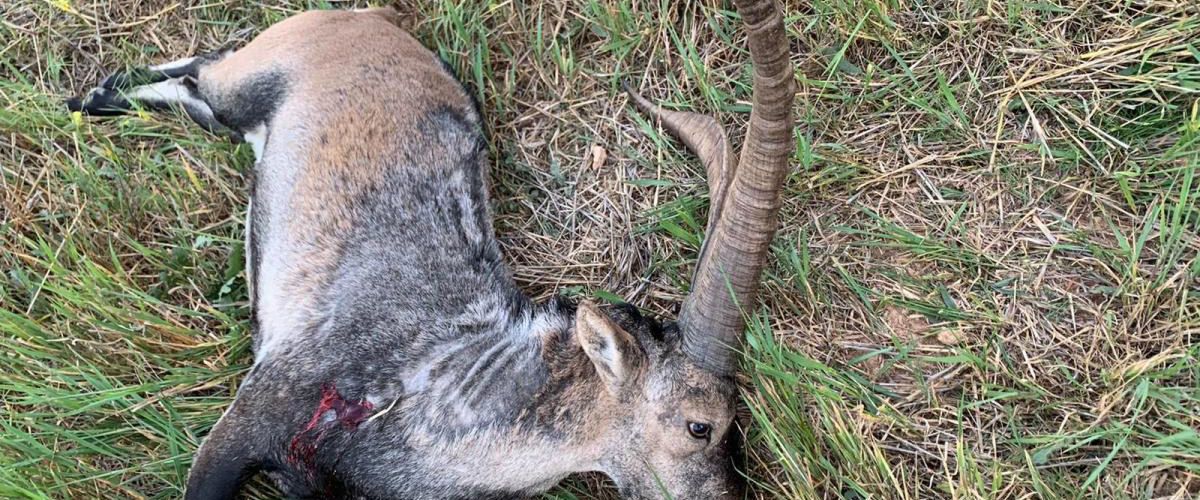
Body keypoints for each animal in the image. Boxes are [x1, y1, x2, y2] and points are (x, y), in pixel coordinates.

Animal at [66, 1, 794, 498]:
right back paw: (90, 97)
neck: (433, 383)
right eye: (702, 425)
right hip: (250, 80)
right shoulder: (255, 411)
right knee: (199, 71)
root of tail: (367, 18)